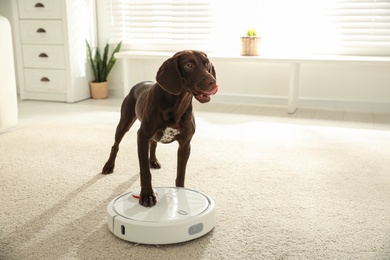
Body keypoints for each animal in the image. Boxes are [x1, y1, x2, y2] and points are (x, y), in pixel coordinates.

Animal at [102, 49, 218, 206]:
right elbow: (145, 171)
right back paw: (109, 165)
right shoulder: (142, 137)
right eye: (188, 65)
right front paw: (147, 195)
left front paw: (181, 193)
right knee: (116, 145)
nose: (212, 82)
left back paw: (153, 160)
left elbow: (181, 173)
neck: (176, 105)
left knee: (153, 144)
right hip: (124, 123)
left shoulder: (185, 144)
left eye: (207, 64)